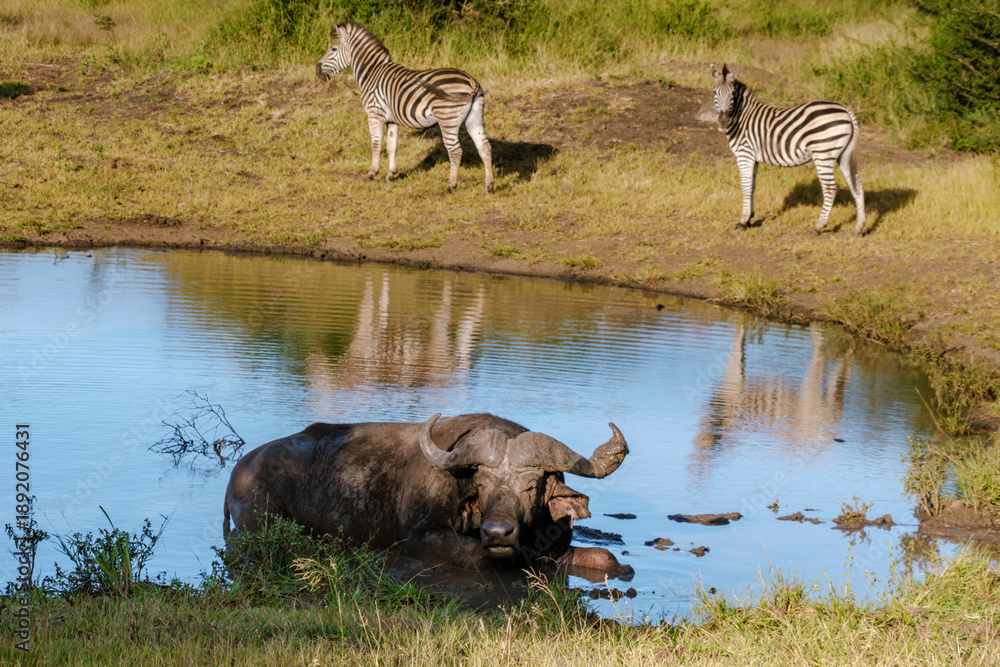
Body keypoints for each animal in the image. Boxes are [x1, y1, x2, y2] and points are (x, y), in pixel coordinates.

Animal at [224, 413, 631, 573]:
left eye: (531, 486)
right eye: (482, 484)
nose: (497, 533)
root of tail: (240, 469)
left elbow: (605, 559)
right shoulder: (422, 541)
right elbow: (482, 559)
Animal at [316, 21, 494, 194]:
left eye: (333, 49)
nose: (316, 70)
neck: (371, 73)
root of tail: (472, 81)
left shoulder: (374, 114)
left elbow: (375, 144)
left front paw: (372, 173)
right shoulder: (392, 120)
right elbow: (391, 146)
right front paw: (390, 175)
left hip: (447, 119)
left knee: (456, 152)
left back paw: (451, 185)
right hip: (474, 119)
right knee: (485, 148)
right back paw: (489, 187)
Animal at [710, 64, 866, 236]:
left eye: (732, 94)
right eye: (715, 92)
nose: (723, 122)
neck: (742, 118)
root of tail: (846, 109)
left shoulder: (745, 155)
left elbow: (745, 187)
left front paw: (742, 221)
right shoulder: (753, 158)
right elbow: (752, 186)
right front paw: (750, 218)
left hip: (823, 153)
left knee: (830, 188)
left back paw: (818, 227)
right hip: (844, 155)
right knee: (857, 184)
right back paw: (859, 228)